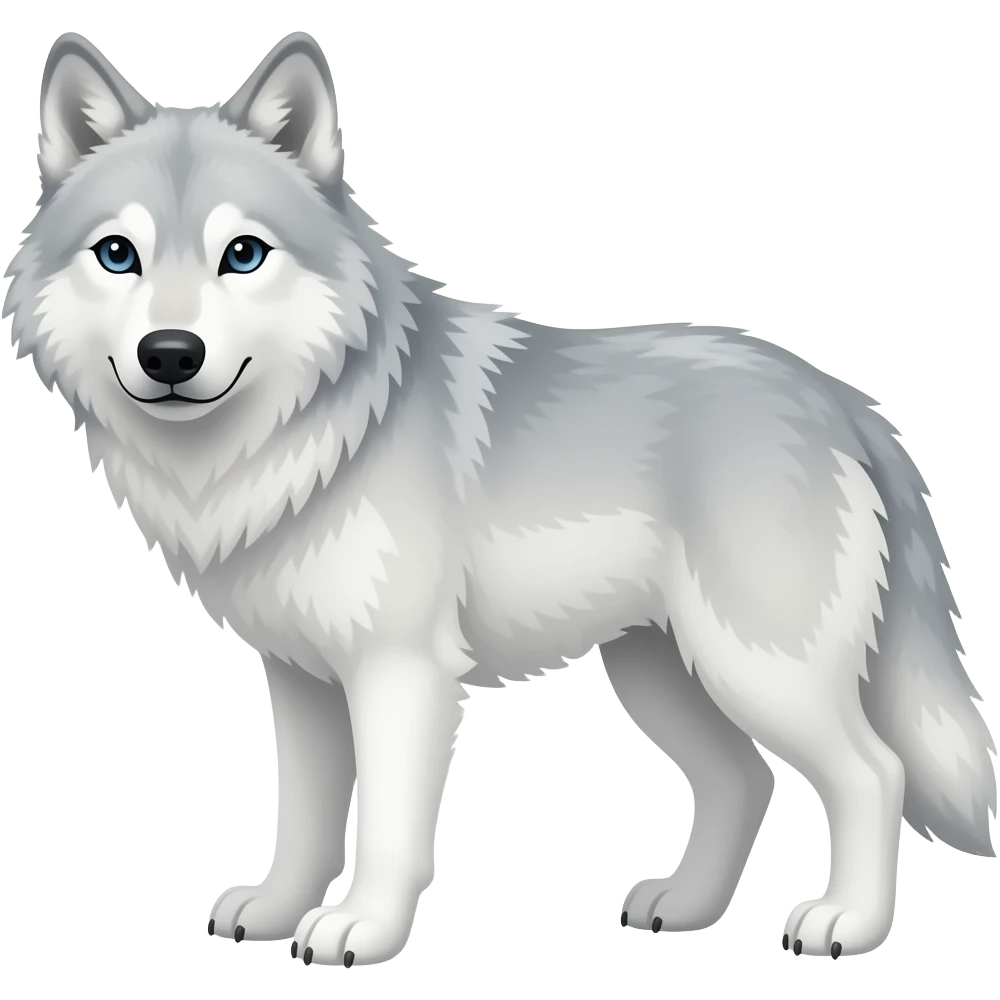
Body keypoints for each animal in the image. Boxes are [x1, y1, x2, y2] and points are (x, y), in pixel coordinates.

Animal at [4, 28, 996, 968]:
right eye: (118, 255)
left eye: (241, 254)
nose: (171, 354)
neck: (306, 435)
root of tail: (839, 397)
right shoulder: (302, 681)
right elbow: (304, 817)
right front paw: (280, 910)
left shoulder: (399, 673)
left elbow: (387, 827)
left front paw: (362, 931)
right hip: (661, 673)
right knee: (744, 781)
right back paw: (684, 908)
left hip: (758, 668)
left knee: (873, 773)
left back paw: (848, 924)